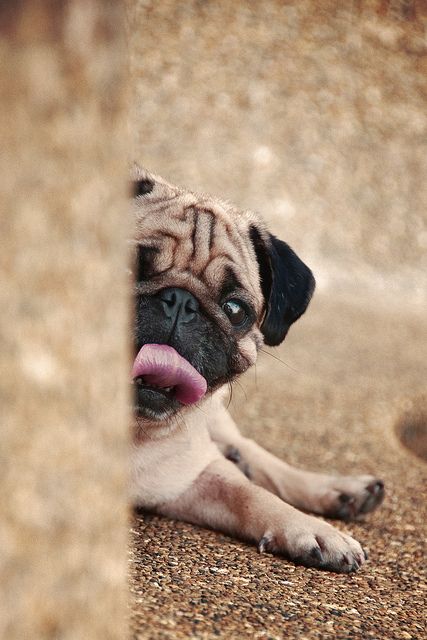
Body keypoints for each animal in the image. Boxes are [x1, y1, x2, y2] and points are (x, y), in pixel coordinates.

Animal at [130, 166, 384, 576]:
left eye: (235, 310)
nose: (180, 301)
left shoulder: (193, 475)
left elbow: (250, 495)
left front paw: (311, 530)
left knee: (253, 453)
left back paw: (341, 491)